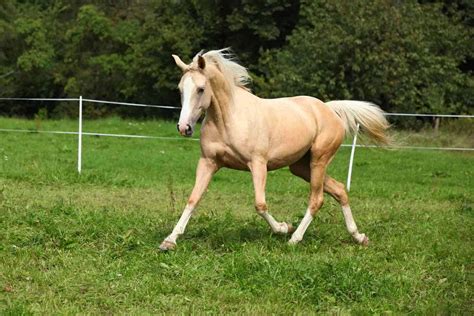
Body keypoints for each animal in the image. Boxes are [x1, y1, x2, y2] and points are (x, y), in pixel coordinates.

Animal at [159, 48, 388, 252]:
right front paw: (169, 241)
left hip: (319, 160)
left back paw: (294, 239)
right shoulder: (208, 162)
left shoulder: (258, 164)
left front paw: (284, 228)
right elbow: (193, 199)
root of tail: (329, 109)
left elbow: (260, 204)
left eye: (200, 89)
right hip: (301, 167)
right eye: (180, 90)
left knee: (317, 199)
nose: (184, 128)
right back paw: (359, 237)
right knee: (340, 190)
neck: (228, 119)